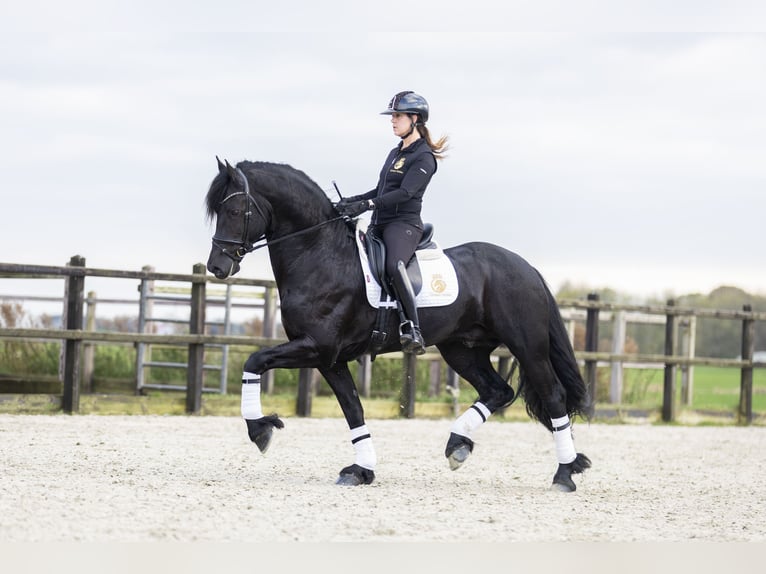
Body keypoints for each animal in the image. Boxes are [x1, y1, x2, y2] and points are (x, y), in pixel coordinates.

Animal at [204, 160, 592, 492]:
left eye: (235, 211)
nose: (217, 267)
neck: (320, 254)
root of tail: (524, 266)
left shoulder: (316, 346)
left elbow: (254, 360)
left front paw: (260, 430)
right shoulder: (329, 359)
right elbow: (353, 409)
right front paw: (361, 470)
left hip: (527, 347)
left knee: (553, 396)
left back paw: (564, 473)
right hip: (462, 350)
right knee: (498, 391)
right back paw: (458, 445)